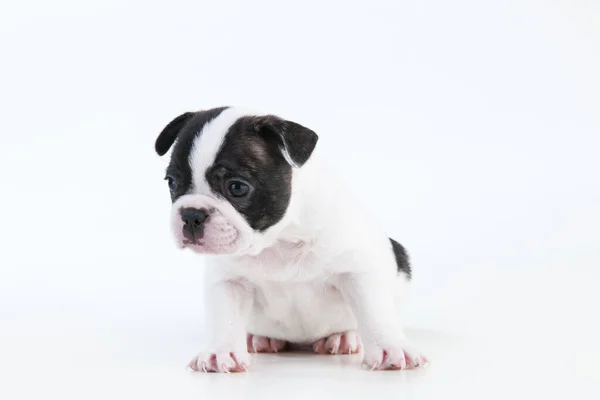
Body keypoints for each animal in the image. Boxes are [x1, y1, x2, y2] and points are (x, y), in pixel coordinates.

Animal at [155, 105, 426, 372]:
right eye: (172, 182)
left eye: (237, 188)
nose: (191, 214)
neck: (277, 241)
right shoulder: (230, 282)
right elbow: (226, 318)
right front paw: (221, 352)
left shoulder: (357, 272)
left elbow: (374, 313)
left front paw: (390, 347)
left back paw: (342, 337)